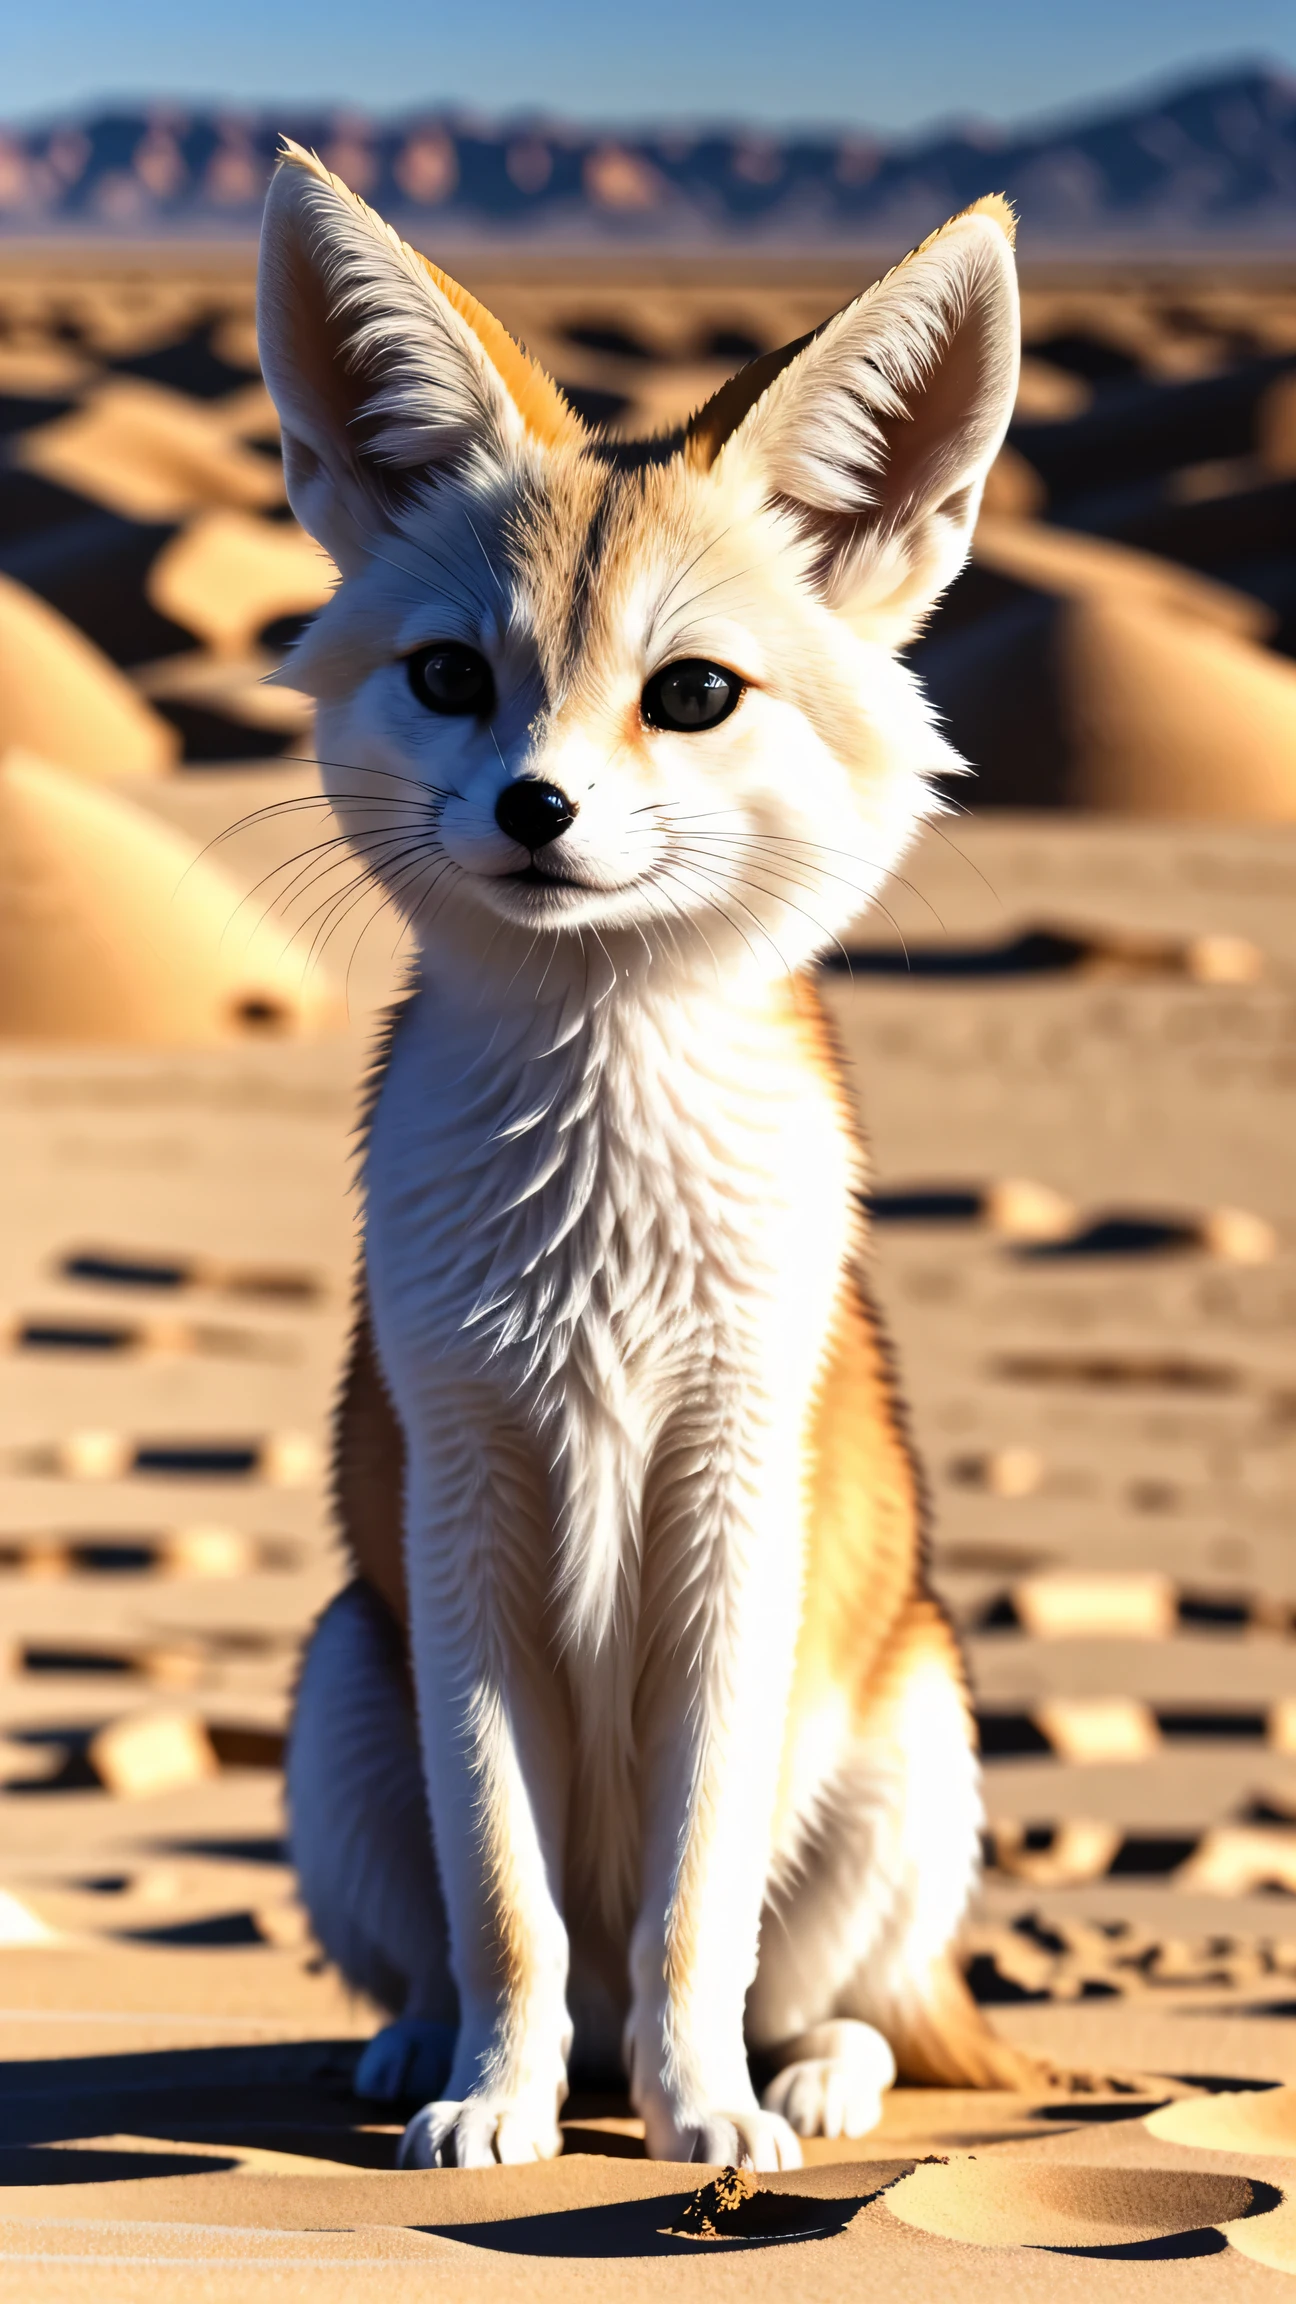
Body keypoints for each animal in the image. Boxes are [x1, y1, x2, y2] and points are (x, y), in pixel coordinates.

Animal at [259, 144, 1028, 2156]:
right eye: (453, 676)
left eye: (688, 694)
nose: (536, 806)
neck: (595, 1224)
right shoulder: (459, 1503)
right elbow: (508, 1900)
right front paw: (492, 2104)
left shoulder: (732, 1499)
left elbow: (695, 1902)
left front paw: (707, 2121)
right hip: (340, 1690)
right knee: (456, 1959)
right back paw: (430, 2053)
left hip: (909, 1735)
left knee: (855, 2002)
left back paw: (798, 2081)